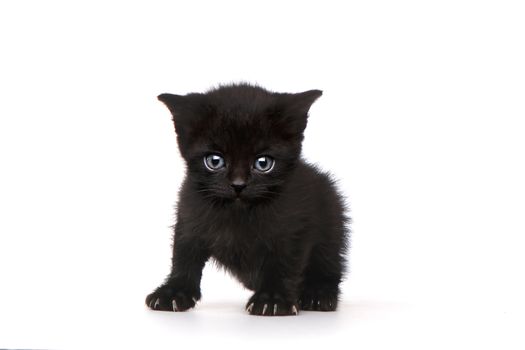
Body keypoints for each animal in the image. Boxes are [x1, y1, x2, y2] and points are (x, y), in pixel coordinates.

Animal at [144, 83, 348, 316]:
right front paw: (173, 292)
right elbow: (184, 255)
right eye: (214, 161)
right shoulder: (189, 214)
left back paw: (318, 294)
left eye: (263, 163)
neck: (238, 213)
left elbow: (284, 262)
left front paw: (273, 298)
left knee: (329, 266)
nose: (238, 184)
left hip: (332, 222)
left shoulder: (294, 226)